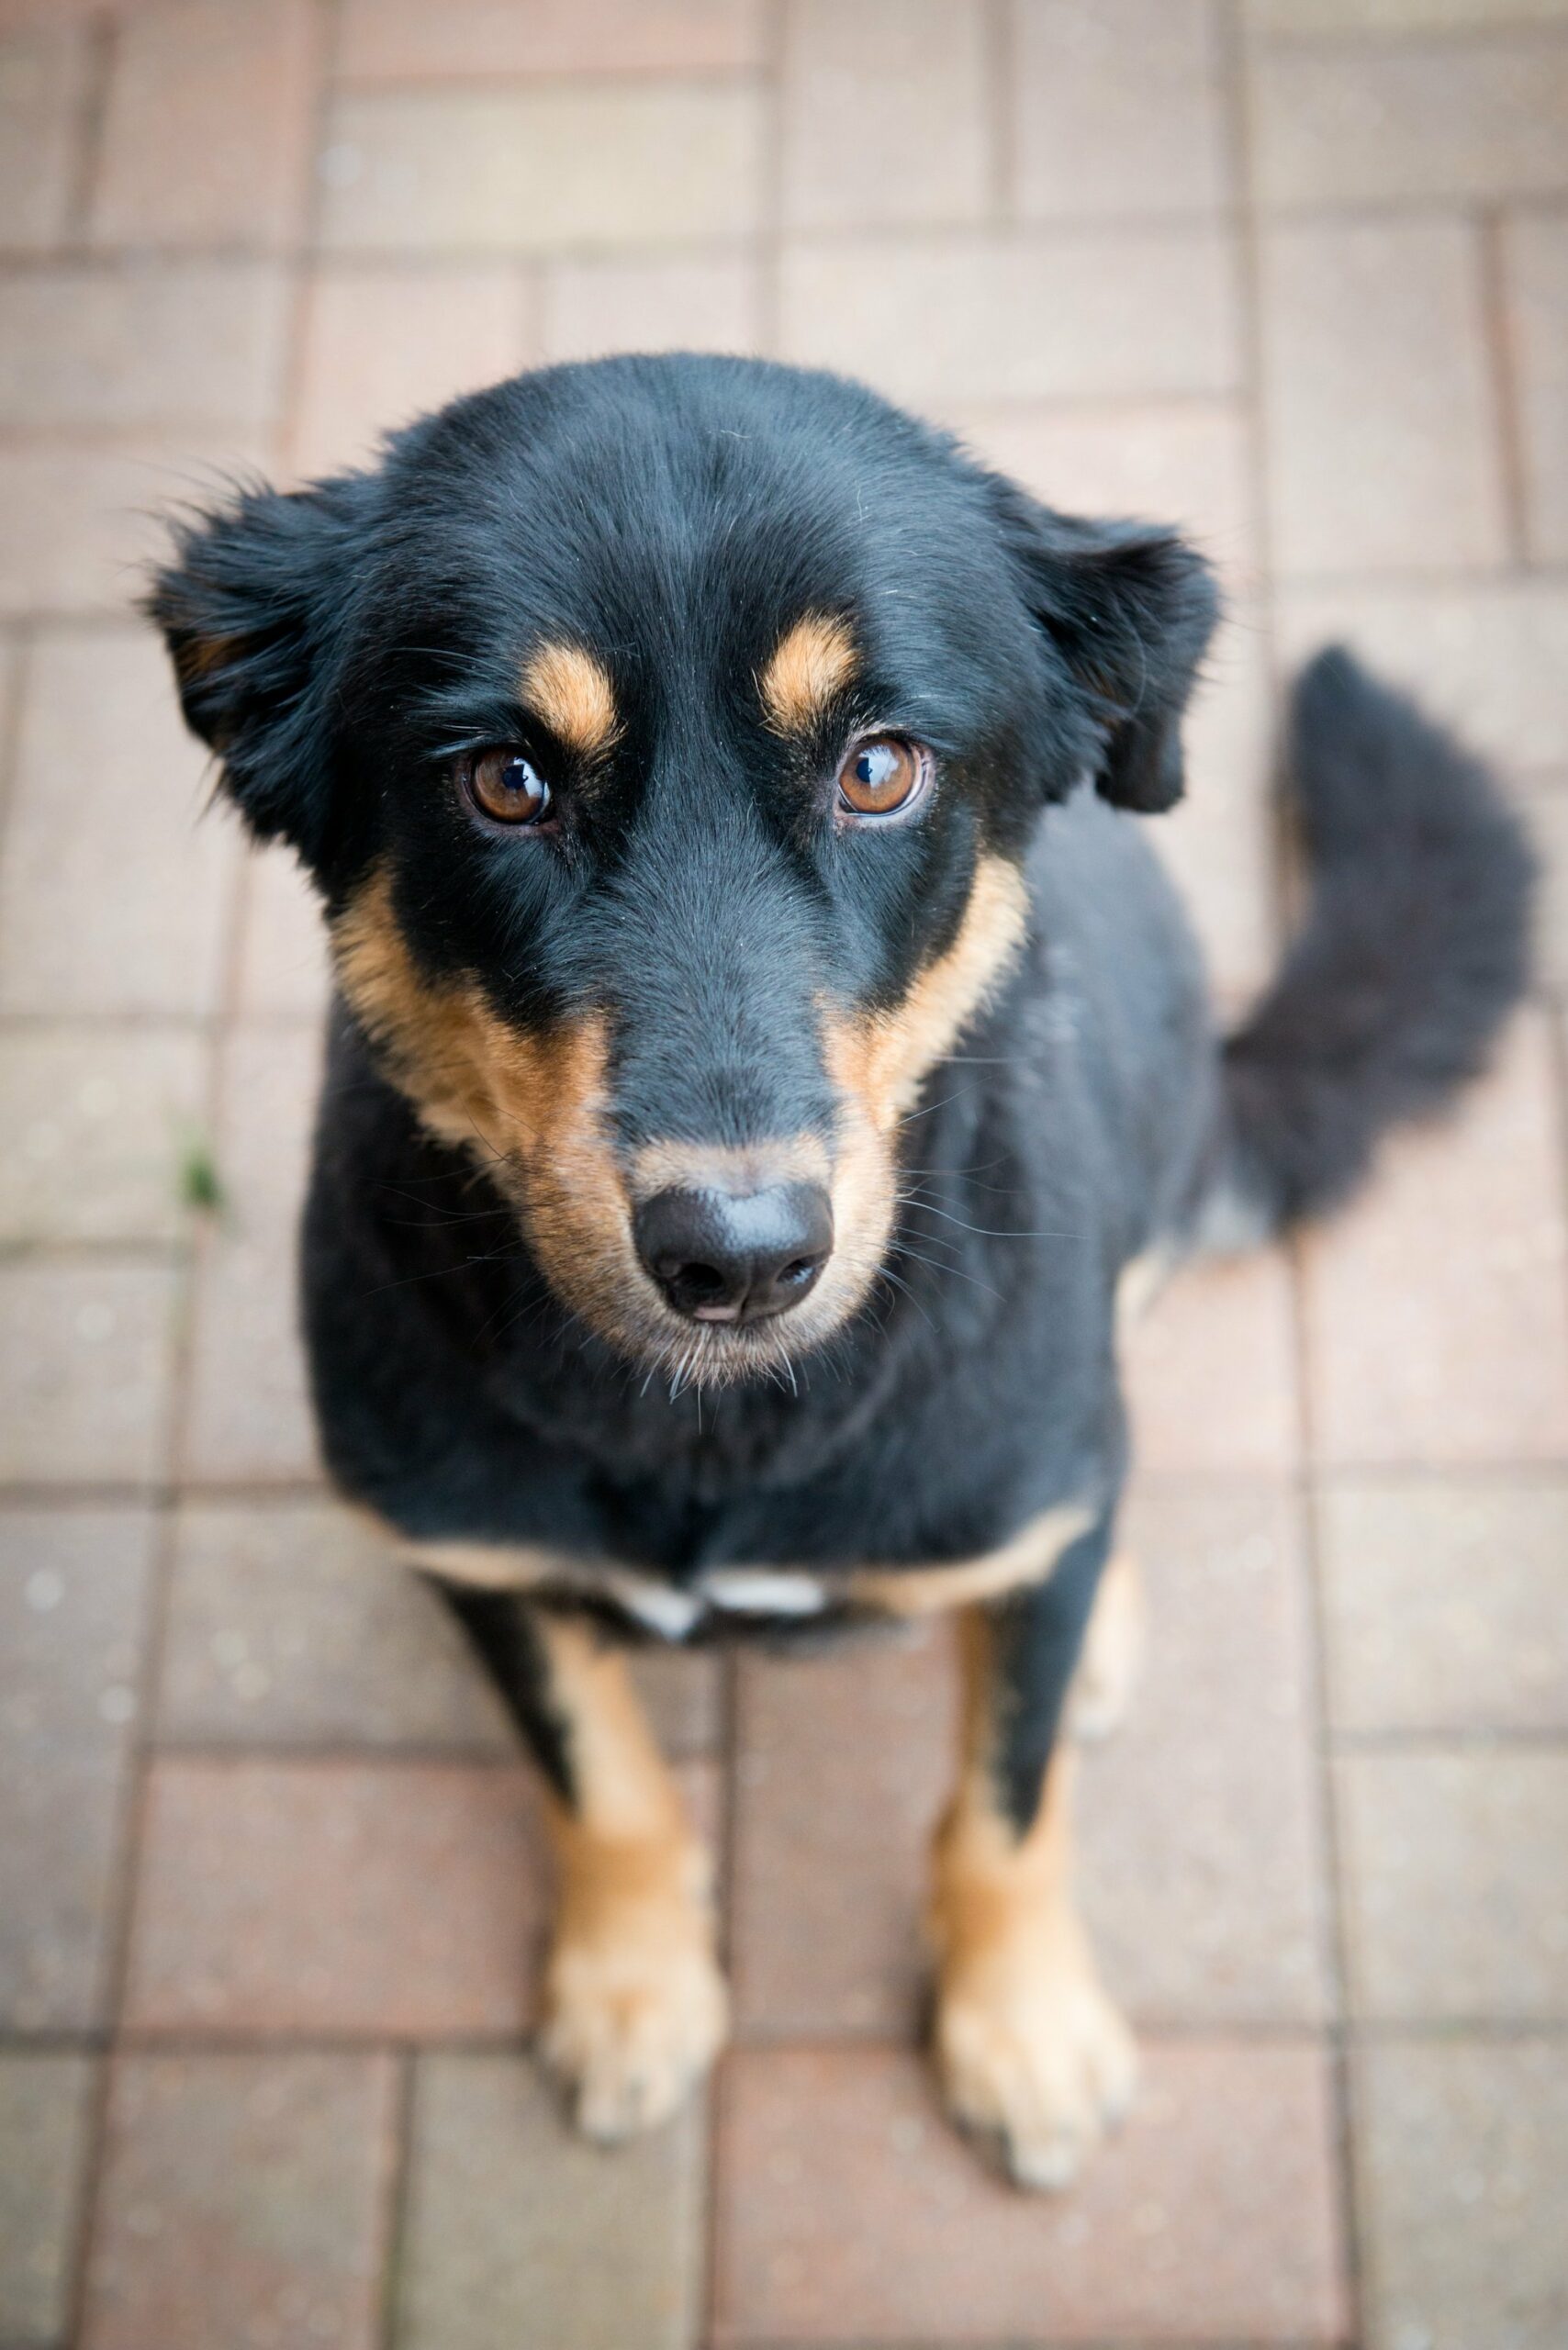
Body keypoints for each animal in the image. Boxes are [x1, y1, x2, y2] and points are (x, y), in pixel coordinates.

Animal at [147, 357, 1532, 2189]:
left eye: (878, 768)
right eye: (503, 782)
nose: (735, 1260)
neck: (717, 1431)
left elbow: (1006, 1802)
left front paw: (1021, 2025)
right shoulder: (480, 1560)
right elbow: (600, 1780)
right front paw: (633, 1987)